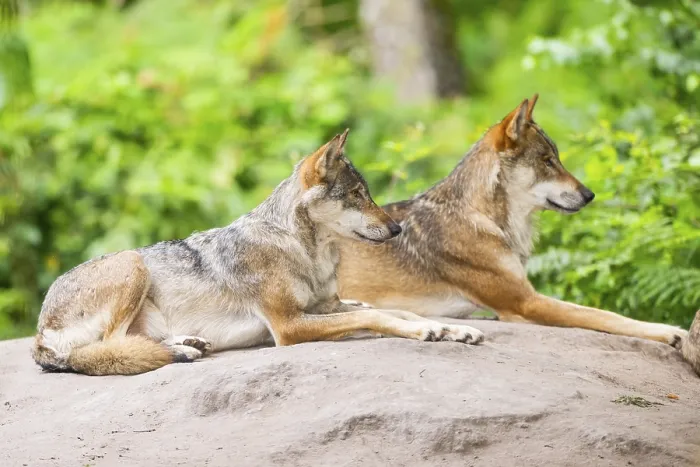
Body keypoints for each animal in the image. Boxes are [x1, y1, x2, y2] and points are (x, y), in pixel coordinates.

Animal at [32, 131, 484, 376]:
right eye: (357, 195)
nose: (397, 229)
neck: (305, 252)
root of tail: (39, 332)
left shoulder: (323, 306)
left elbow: (399, 310)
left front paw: (452, 329)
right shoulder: (288, 325)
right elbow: (377, 315)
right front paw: (428, 332)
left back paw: (187, 342)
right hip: (132, 261)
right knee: (106, 349)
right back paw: (179, 350)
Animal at [337, 96, 688, 348]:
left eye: (557, 159)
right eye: (548, 161)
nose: (589, 195)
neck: (484, 218)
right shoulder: (526, 302)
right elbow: (606, 315)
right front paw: (672, 331)